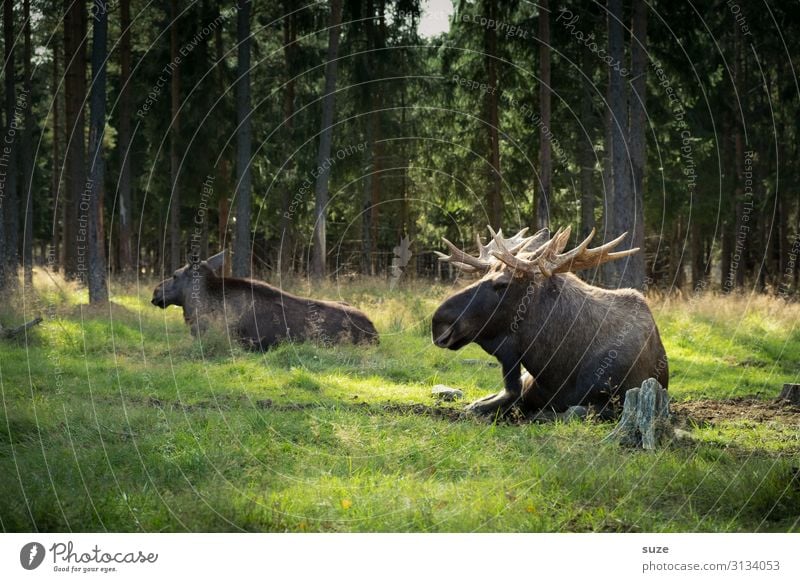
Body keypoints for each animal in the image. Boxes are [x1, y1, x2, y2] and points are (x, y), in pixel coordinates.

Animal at [432, 227, 668, 420]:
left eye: (502, 283)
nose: (439, 323)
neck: (557, 369)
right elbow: (486, 404)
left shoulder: (617, 401)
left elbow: (572, 411)